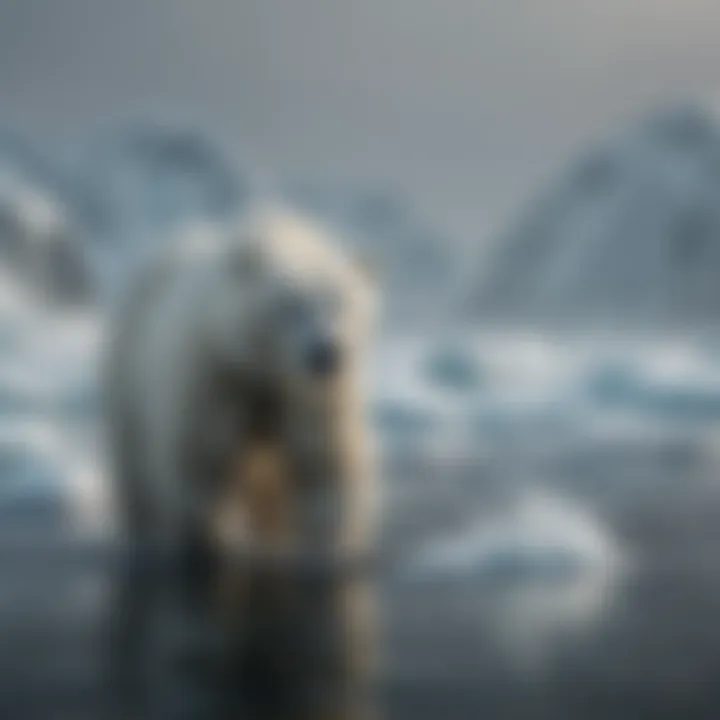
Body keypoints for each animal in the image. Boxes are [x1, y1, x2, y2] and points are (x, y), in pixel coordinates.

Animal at [105, 211, 382, 716]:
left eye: (340, 303)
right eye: (289, 306)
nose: (326, 353)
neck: (264, 369)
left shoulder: (311, 403)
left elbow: (323, 473)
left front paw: (325, 561)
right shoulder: (215, 379)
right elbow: (199, 467)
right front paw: (211, 553)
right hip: (126, 373)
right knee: (135, 470)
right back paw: (144, 542)